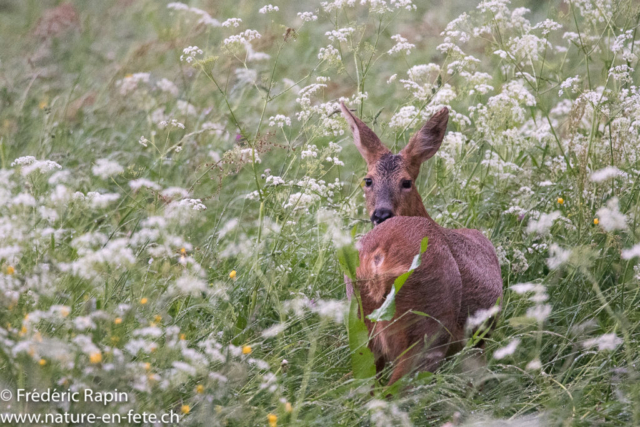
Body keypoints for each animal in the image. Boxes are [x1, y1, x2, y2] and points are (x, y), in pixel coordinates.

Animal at [342, 103, 502, 384]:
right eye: (368, 180)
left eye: (406, 182)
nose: (380, 214)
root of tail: (379, 259)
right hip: (430, 325)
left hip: (360, 325)